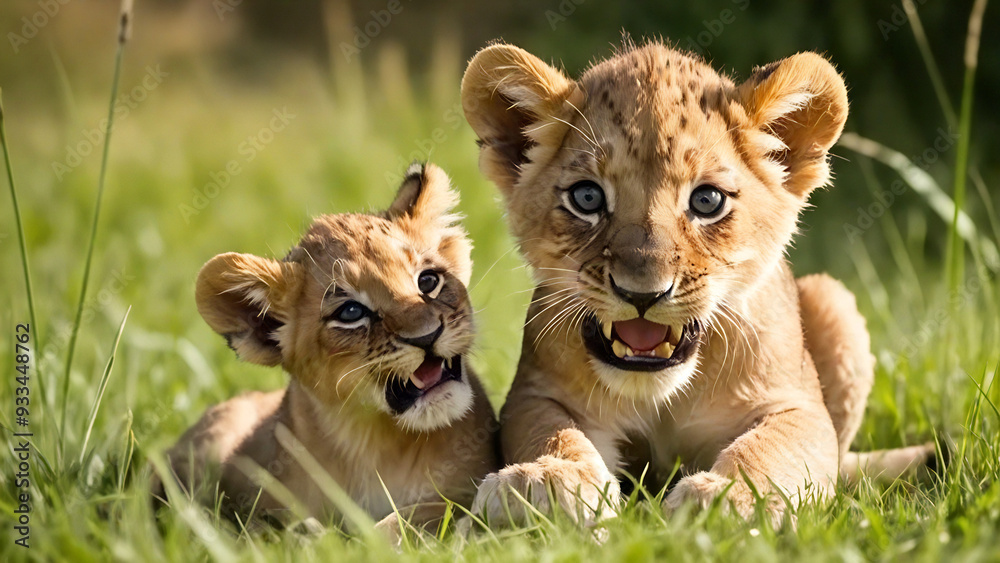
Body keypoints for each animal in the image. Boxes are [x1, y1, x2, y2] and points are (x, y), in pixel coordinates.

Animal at [154, 163, 499, 536]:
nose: (427, 336)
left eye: (428, 281)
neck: (374, 443)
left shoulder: (465, 490)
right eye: (350, 312)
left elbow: (421, 514)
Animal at [459, 41, 935, 525]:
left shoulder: (798, 404)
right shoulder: (534, 395)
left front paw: (726, 497)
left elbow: (771, 449)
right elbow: (555, 432)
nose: (642, 294)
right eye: (587, 197)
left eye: (707, 201)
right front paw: (545, 481)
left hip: (831, 298)